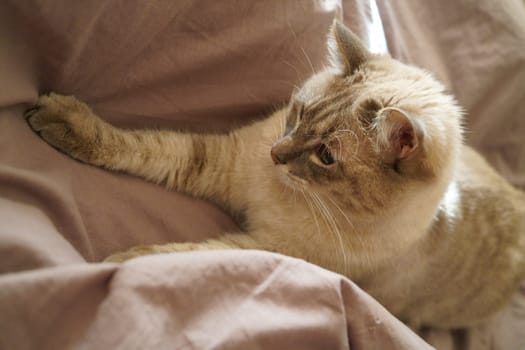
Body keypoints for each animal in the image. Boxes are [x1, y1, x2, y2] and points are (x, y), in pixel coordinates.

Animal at [25, 20, 524, 332]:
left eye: (325, 156)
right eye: (299, 112)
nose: (275, 154)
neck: (284, 194)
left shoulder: (263, 248)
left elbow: (177, 257)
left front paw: (113, 268)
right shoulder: (222, 160)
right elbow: (140, 146)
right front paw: (59, 122)